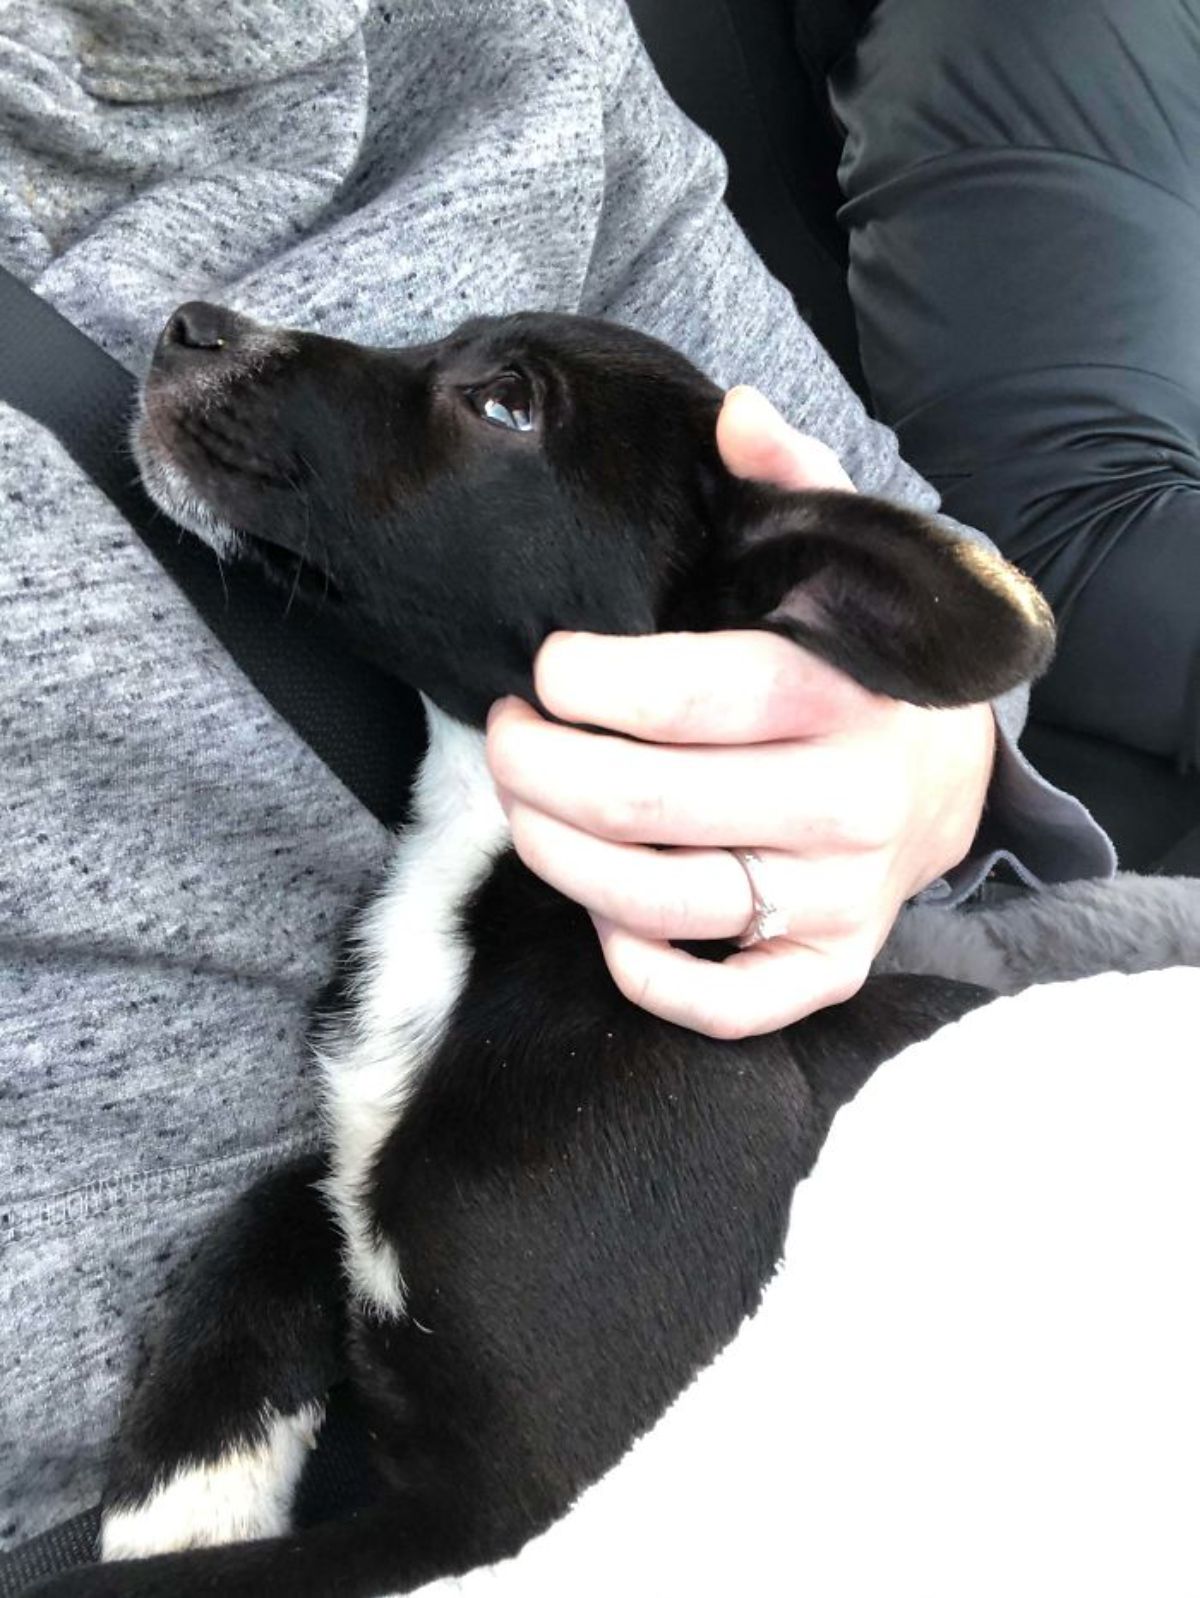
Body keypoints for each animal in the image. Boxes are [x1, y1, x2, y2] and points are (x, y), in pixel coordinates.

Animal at [35, 305, 1048, 1591]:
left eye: (506, 405)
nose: (194, 325)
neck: (484, 878)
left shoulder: (505, 1516)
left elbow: (173, 1583)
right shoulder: (358, 1161)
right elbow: (273, 1201)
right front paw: (189, 1475)